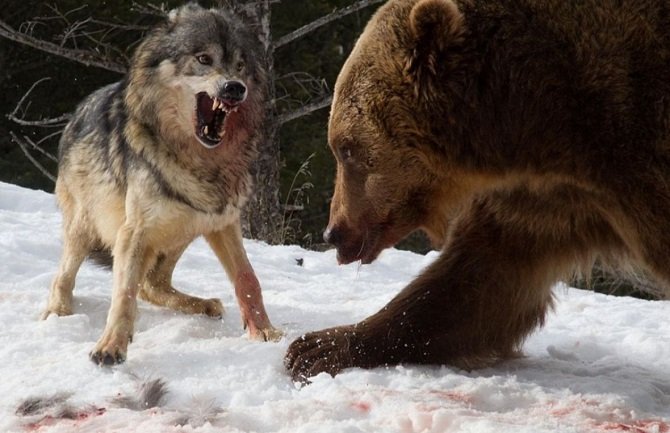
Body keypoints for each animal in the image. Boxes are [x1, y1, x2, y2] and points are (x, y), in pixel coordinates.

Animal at [44, 3, 280, 364]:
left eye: (240, 66)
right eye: (203, 58)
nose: (234, 88)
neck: (200, 162)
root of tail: (76, 113)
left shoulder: (223, 222)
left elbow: (247, 278)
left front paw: (265, 331)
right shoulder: (134, 231)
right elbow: (123, 293)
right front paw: (110, 346)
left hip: (184, 228)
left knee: (152, 285)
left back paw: (204, 305)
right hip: (89, 226)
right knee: (65, 277)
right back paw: (57, 313)